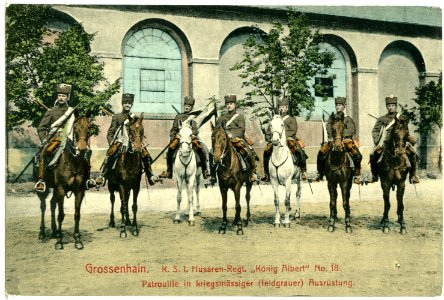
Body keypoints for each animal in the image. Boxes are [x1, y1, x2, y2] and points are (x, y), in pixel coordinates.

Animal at [36, 116, 92, 250]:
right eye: (75, 128)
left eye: (89, 128)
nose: (82, 148)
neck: (73, 163)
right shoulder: (61, 189)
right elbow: (61, 215)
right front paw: (59, 242)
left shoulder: (79, 191)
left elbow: (77, 214)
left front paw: (77, 240)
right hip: (44, 190)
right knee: (43, 206)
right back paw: (42, 233)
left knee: (52, 204)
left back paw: (54, 231)